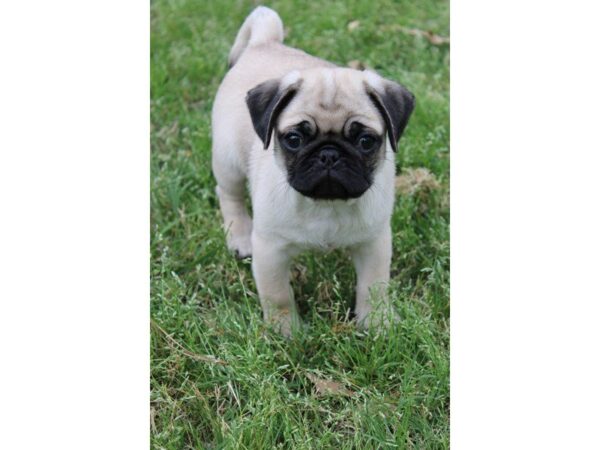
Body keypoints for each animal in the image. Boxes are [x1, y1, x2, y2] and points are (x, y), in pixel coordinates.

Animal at [213, 6, 414, 334]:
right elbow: (278, 296)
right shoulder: (270, 250)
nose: (329, 154)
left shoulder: (374, 243)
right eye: (294, 139)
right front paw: (286, 332)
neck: (325, 205)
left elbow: (373, 286)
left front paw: (377, 324)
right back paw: (240, 236)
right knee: (229, 194)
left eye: (365, 141)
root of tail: (264, 42)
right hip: (228, 160)